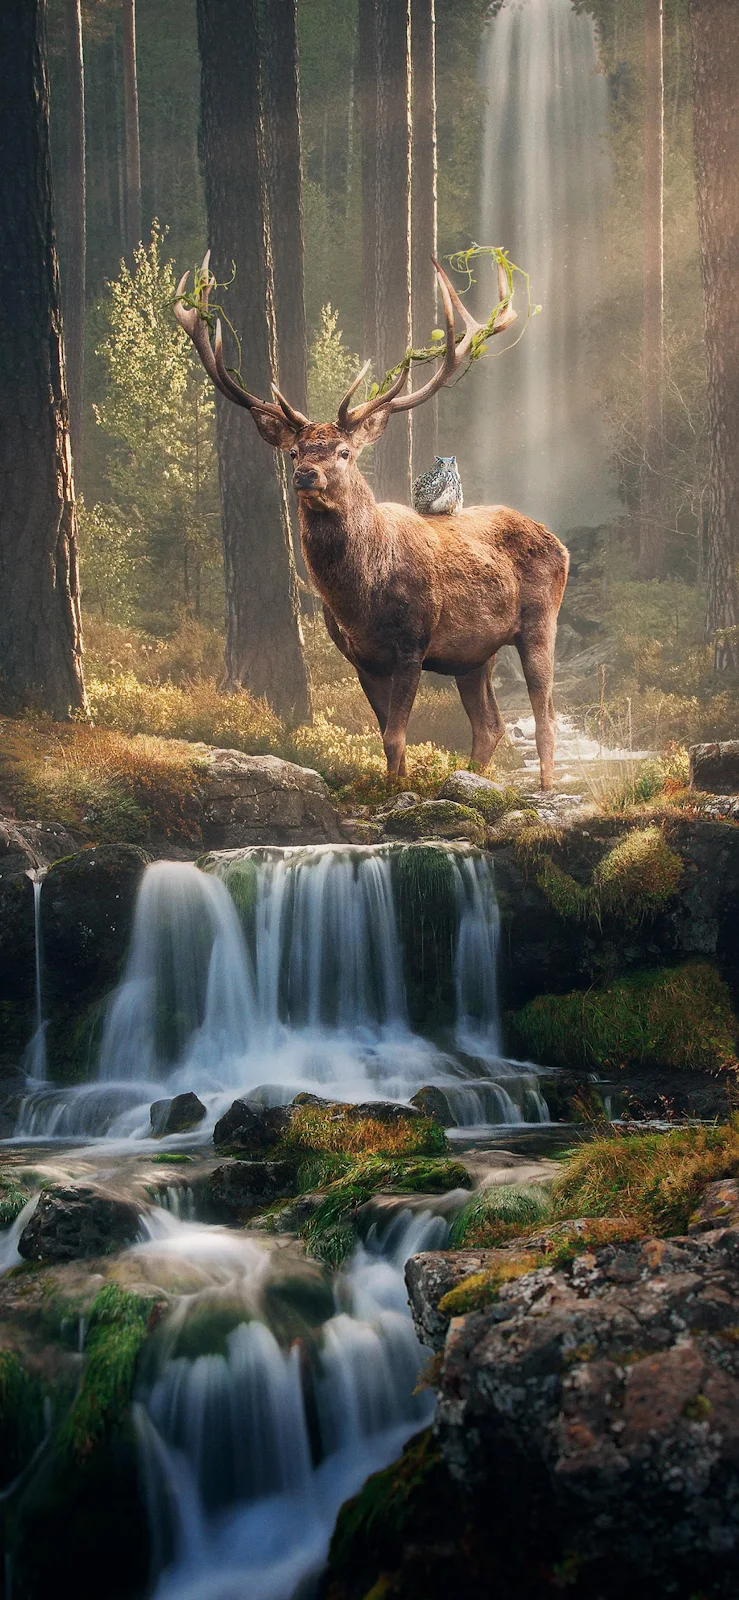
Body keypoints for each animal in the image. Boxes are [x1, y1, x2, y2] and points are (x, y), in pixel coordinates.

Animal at [175, 255, 569, 790]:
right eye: (294, 450)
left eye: (344, 451)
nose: (306, 474)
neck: (360, 599)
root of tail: (559, 543)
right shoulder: (360, 657)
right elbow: (386, 738)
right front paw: (395, 785)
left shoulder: (412, 642)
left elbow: (397, 736)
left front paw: (399, 790)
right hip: (473, 654)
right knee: (490, 724)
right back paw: (471, 777)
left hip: (540, 619)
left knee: (545, 714)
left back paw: (545, 788)